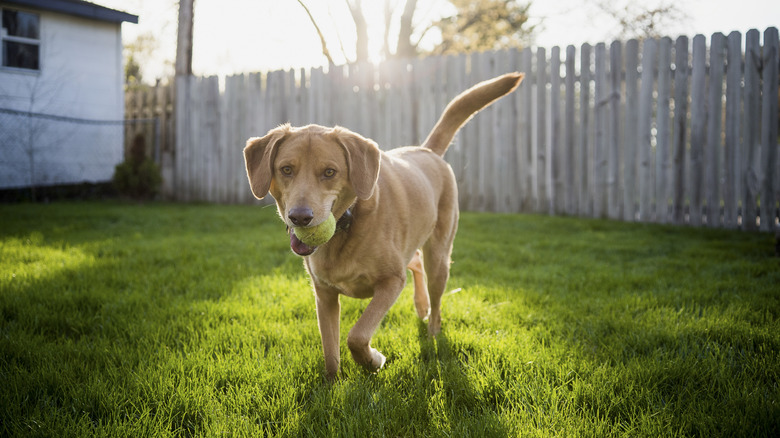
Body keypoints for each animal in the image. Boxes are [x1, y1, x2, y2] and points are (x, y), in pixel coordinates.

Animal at [244, 72, 524, 380]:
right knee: (415, 261)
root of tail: (426, 150)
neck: (347, 222)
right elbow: (330, 352)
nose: (300, 217)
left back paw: (432, 330)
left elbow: (357, 336)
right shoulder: (324, 295)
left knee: (434, 293)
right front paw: (331, 383)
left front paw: (372, 360)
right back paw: (421, 305)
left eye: (329, 172)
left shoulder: (391, 281)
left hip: (439, 255)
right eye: (286, 169)